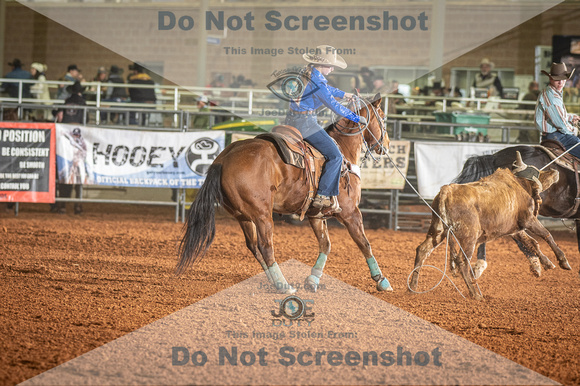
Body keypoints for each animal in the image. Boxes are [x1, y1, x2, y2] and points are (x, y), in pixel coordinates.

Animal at [177, 95, 392, 292]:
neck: (343, 152)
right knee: (265, 246)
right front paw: (381, 281)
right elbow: (364, 243)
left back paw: (274, 280)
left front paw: (312, 280)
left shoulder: (316, 215)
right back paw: (284, 285)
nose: (387, 145)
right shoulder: (350, 212)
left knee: (253, 247)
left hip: (243, 216)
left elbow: (326, 245)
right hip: (262, 214)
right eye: (382, 118)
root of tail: (223, 158)